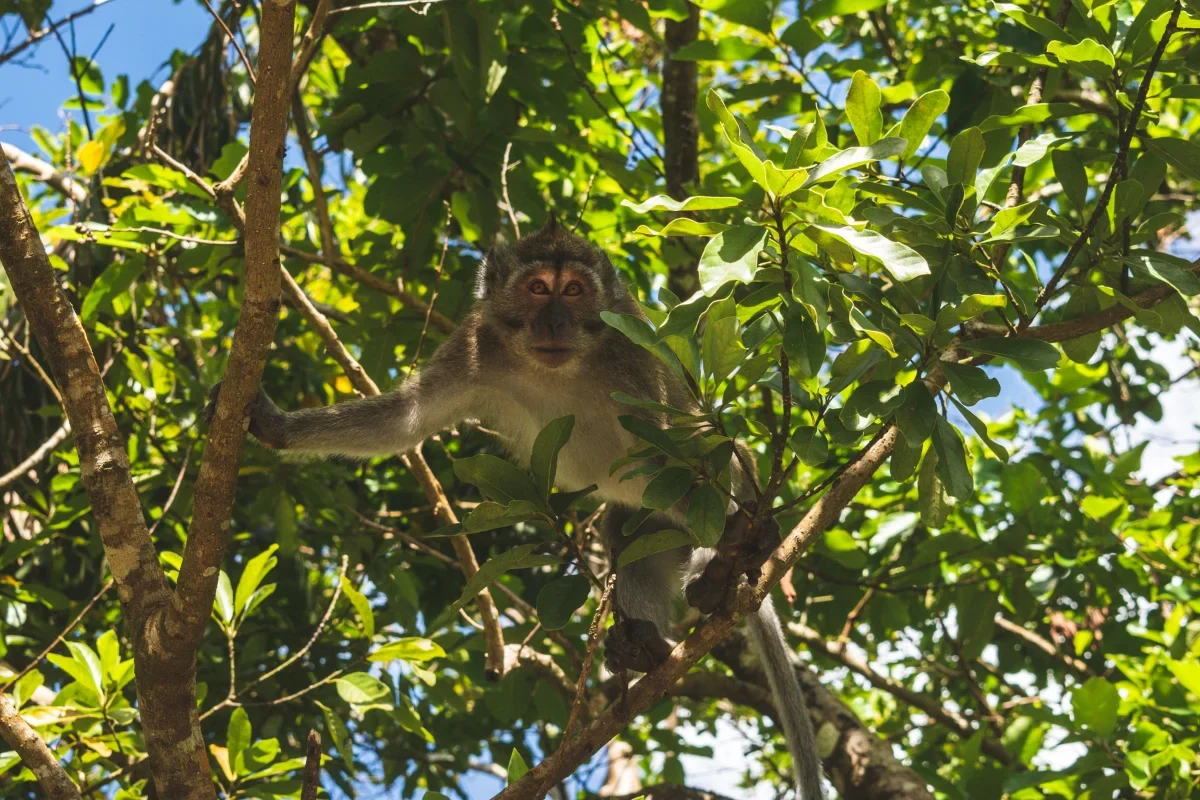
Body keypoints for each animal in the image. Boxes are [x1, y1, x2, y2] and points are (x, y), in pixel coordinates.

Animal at [208, 218, 826, 800]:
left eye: (574, 291)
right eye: (537, 289)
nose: (554, 322)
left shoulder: (631, 355)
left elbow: (680, 442)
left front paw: (743, 540)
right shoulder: (476, 346)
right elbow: (406, 421)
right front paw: (274, 425)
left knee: (699, 467)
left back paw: (733, 559)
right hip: (658, 526)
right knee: (627, 532)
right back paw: (649, 644)